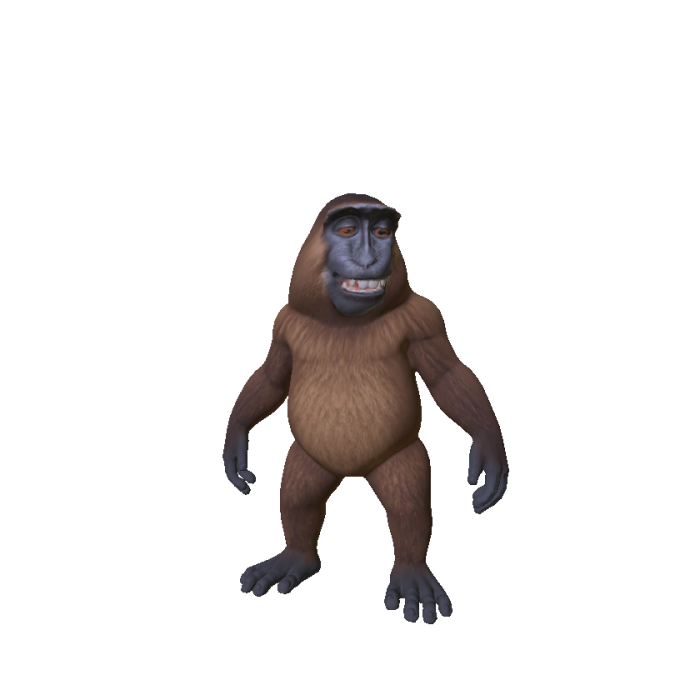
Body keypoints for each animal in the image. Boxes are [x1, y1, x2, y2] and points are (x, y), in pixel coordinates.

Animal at [223, 193, 509, 624]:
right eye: (346, 230)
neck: (343, 322)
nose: (371, 255)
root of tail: (351, 473)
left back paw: (410, 573)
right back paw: (294, 558)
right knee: (298, 497)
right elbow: (272, 376)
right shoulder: (284, 322)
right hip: (311, 459)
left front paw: (489, 449)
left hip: (398, 457)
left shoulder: (425, 315)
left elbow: (446, 375)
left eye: (382, 232)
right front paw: (236, 442)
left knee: (408, 505)